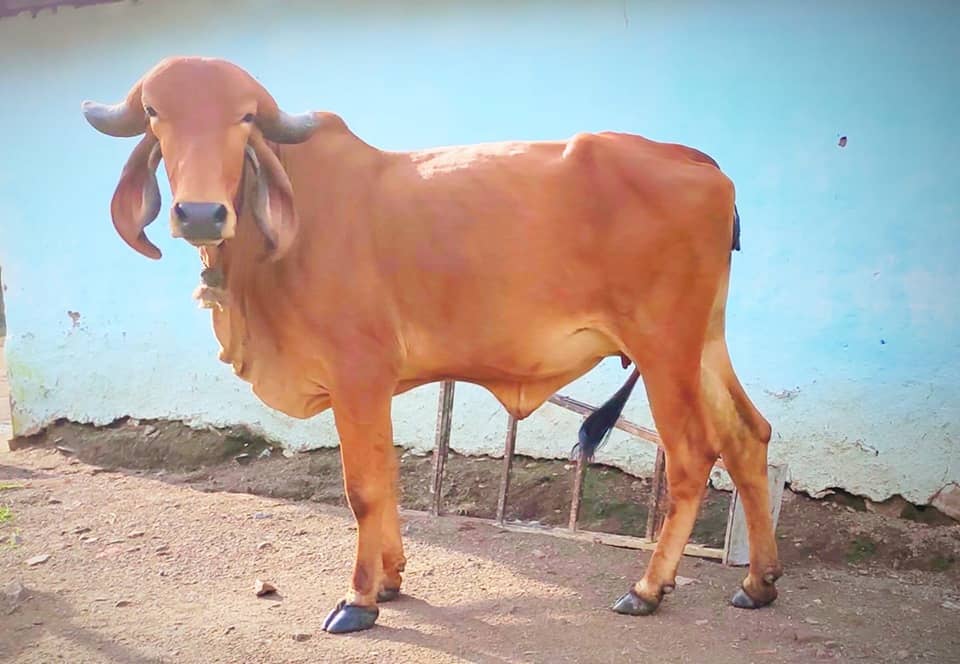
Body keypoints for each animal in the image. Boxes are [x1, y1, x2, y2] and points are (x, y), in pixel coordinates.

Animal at [81, 56, 781, 634]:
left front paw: (360, 600)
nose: (201, 214)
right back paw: (758, 581)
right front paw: (391, 579)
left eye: (245, 117)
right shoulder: (372, 386)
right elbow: (387, 477)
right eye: (155, 113)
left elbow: (364, 486)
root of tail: (699, 162)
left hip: (664, 347)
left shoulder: (357, 374)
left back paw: (648, 588)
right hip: (703, 342)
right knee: (749, 436)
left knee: (693, 456)